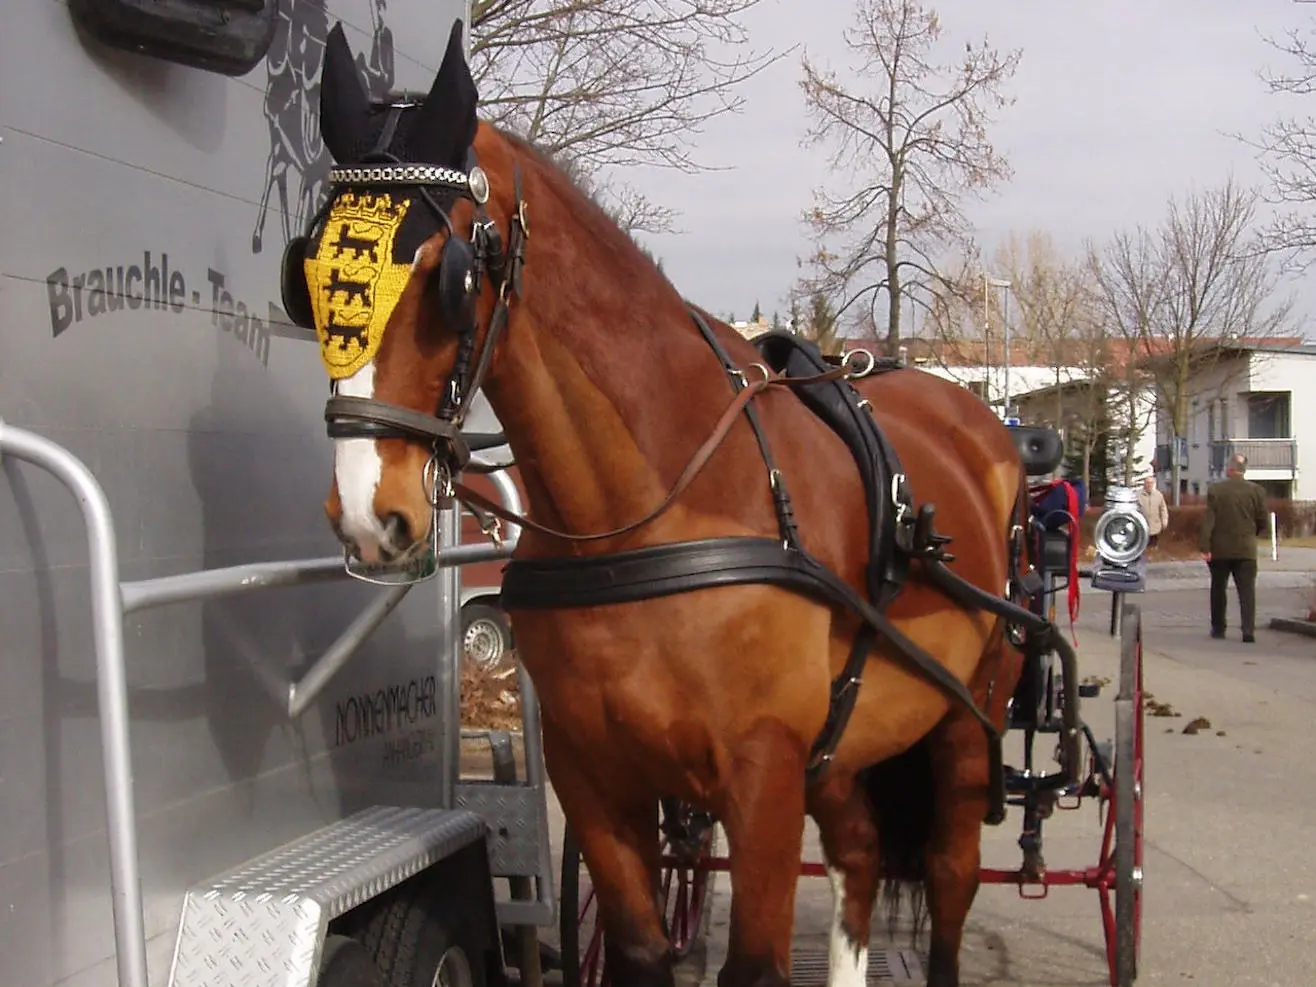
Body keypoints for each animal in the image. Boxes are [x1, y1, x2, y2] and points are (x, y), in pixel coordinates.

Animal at [280, 17, 1079, 987]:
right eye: (305, 271)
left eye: (450, 276)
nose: (370, 513)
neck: (652, 509)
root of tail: (983, 430)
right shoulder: (597, 781)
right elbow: (638, 945)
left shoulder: (764, 776)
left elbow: (760, 964)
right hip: (845, 751)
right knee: (856, 852)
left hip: (969, 725)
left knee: (950, 880)